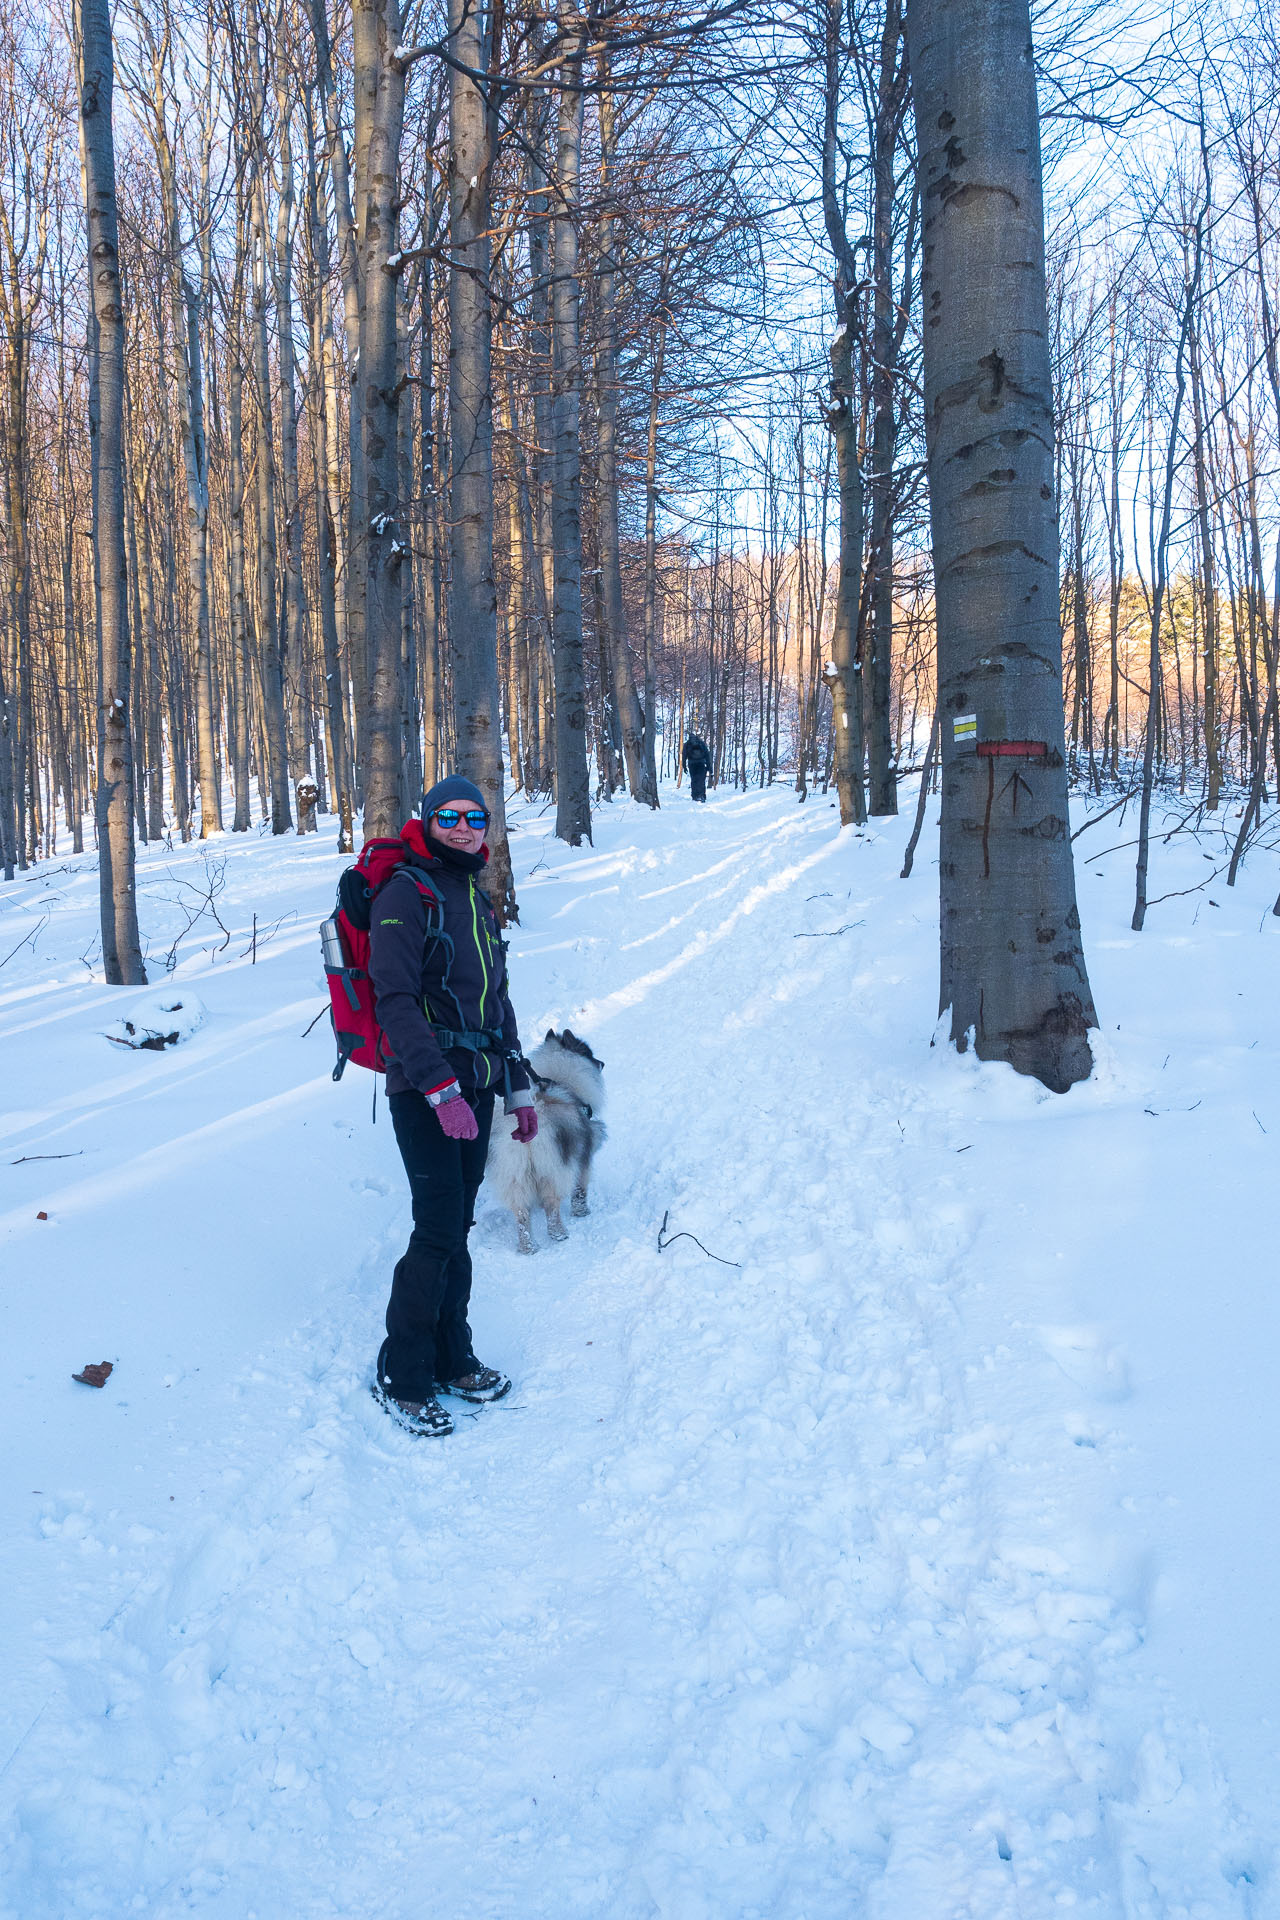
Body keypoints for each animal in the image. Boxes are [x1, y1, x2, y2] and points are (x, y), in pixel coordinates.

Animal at [491, 1029, 610, 1251]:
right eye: (589, 1052)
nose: (603, 1063)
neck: (559, 1080)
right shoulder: (583, 1156)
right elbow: (580, 1190)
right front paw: (582, 1212)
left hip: (514, 1175)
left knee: (521, 1213)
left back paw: (528, 1246)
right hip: (555, 1171)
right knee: (552, 1205)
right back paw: (559, 1234)